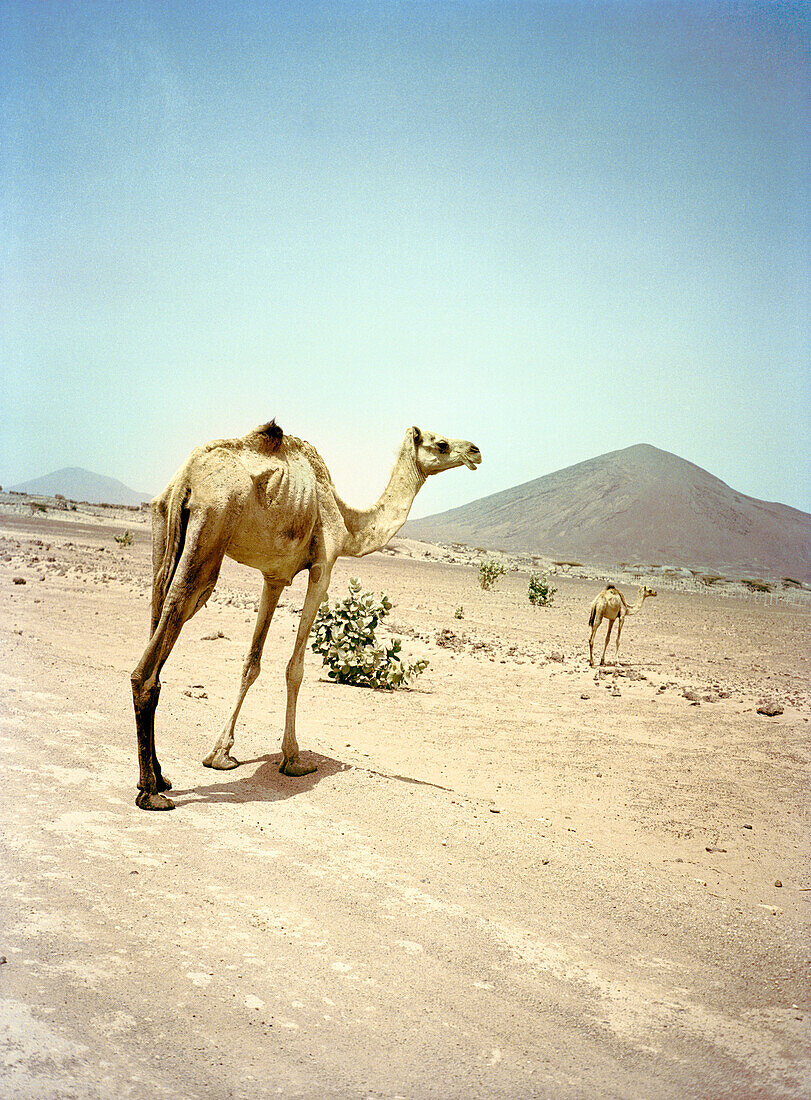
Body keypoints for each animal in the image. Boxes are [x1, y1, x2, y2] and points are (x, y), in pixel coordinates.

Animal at [129, 420, 477, 809]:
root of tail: (187, 477)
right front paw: (294, 758)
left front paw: (220, 755)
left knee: (158, 611)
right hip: (210, 530)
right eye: (441, 444)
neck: (349, 522)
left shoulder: (274, 577)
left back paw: (161, 776)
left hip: (164, 525)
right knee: (152, 660)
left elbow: (251, 663)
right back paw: (150, 791)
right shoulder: (323, 567)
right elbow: (294, 669)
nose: (475, 451)